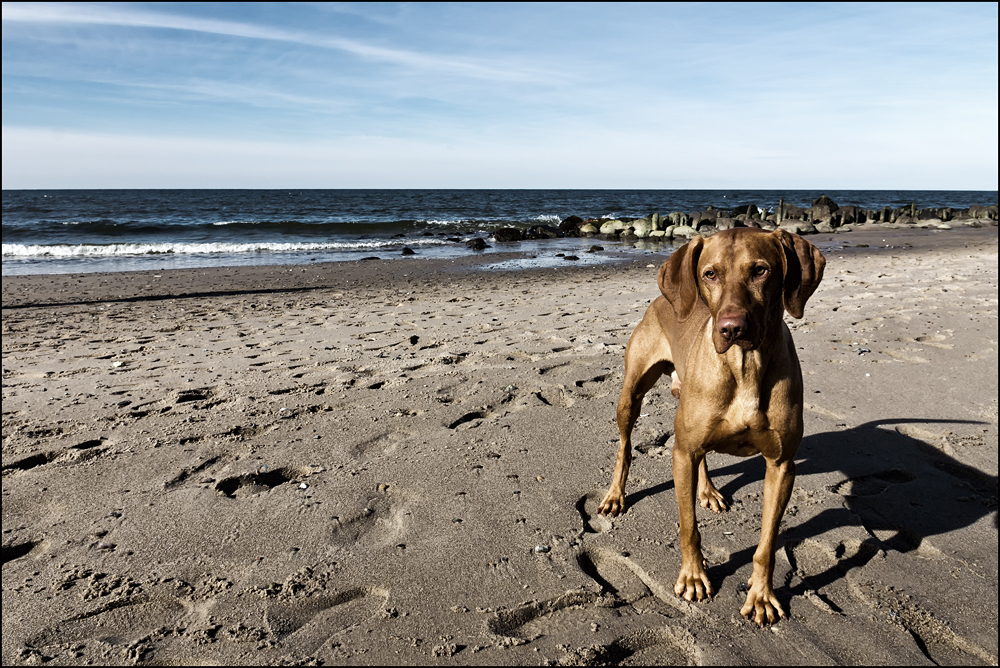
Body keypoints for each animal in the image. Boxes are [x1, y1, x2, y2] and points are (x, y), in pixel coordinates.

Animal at [596, 228, 824, 628]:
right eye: (710, 274)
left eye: (760, 270)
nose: (732, 328)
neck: (744, 364)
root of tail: (662, 298)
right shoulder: (682, 453)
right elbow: (688, 527)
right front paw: (693, 577)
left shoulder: (781, 465)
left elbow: (767, 543)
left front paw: (761, 595)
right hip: (632, 393)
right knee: (625, 445)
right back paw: (615, 495)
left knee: (702, 456)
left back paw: (708, 490)